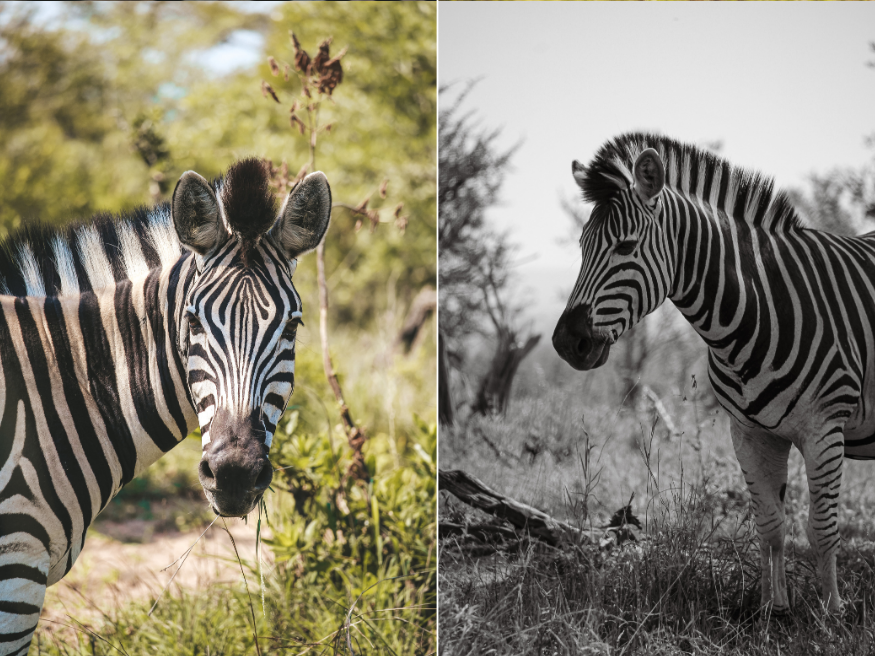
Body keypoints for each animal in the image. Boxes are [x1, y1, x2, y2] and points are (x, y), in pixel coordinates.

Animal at [553, 133, 875, 614]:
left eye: (625, 247)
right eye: (582, 248)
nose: (564, 343)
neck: (753, 314)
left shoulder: (824, 428)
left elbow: (822, 527)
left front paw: (831, 612)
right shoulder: (749, 433)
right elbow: (770, 524)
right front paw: (772, 610)